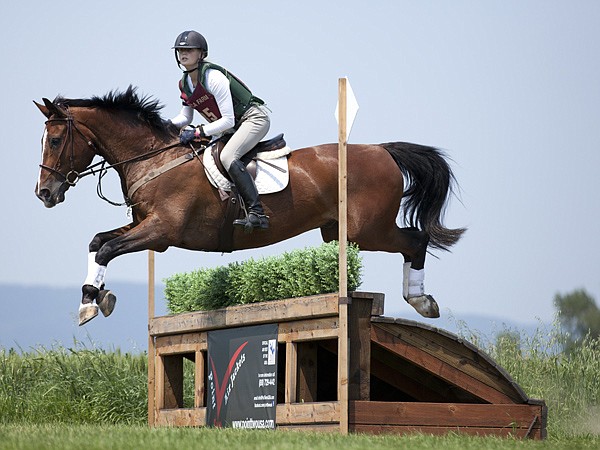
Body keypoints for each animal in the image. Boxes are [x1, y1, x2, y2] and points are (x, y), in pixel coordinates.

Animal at [32, 86, 466, 324]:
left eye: (54, 140)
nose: (44, 194)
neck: (154, 158)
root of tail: (382, 150)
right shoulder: (147, 229)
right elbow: (97, 242)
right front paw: (93, 297)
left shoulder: (161, 231)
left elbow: (107, 247)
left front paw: (93, 304)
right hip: (345, 231)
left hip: (368, 230)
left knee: (415, 239)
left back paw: (422, 300)